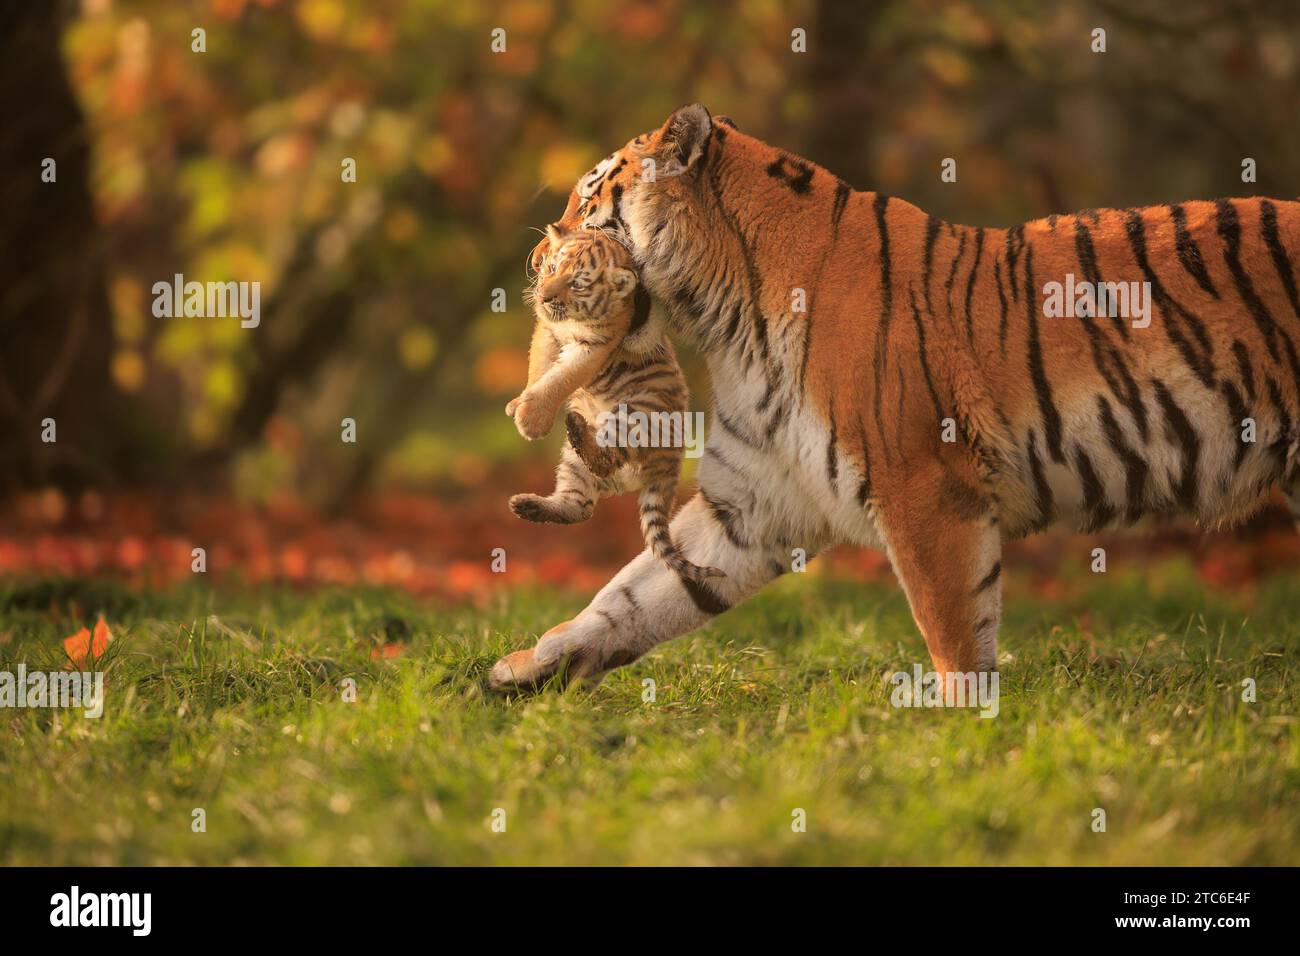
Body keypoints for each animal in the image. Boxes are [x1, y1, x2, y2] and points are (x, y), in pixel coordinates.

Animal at [488, 104, 1300, 691]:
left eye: (589, 195)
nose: (534, 254)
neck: (725, 319)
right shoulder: (751, 502)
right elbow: (630, 595)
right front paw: (526, 668)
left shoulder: (926, 488)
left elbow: (954, 630)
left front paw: (965, 734)